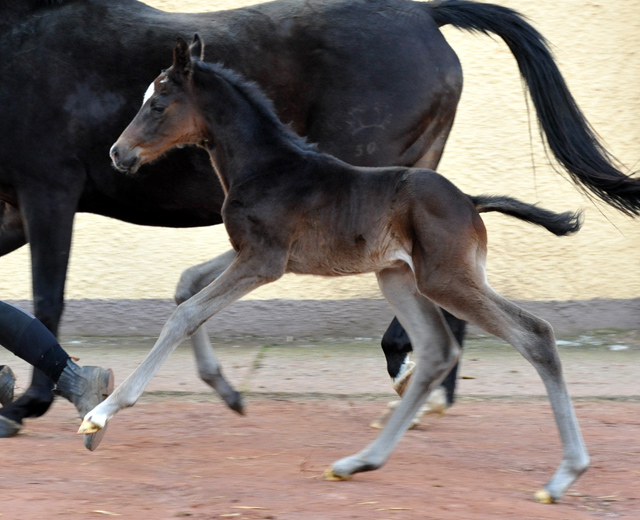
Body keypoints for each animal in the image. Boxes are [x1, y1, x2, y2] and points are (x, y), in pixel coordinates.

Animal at [92, 36, 588, 504]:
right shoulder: (257, 253)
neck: (266, 166)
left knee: (535, 334)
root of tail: (469, 201)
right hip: (400, 278)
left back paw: (564, 475)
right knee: (436, 351)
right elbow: (187, 285)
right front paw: (227, 393)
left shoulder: (263, 261)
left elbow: (186, 313)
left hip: (446, 279)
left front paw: (101, 414)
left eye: (158, 104)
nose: (118, 153)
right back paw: (359, 462)